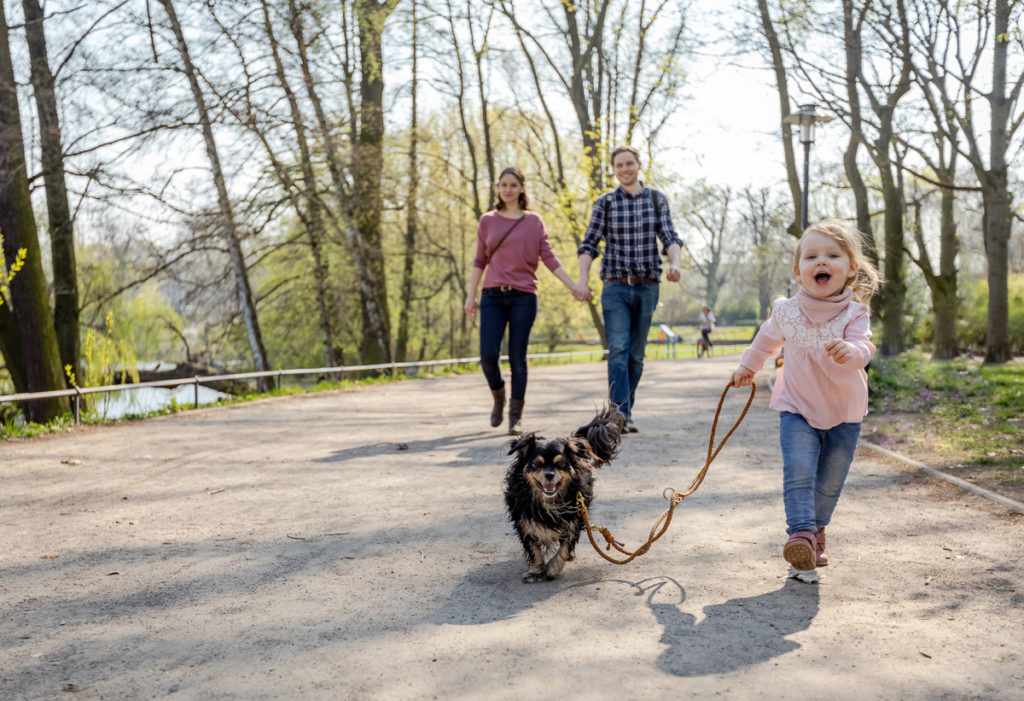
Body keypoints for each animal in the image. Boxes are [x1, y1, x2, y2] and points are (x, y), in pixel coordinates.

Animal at [503, 405, 622, 581]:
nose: (549, 475)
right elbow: (534, 549)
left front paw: (553, 568)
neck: (549, 501)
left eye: (561, 464)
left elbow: (564, 549)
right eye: (536, 464)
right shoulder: (524, 523)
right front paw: (536, 571)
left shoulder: (574, 521)